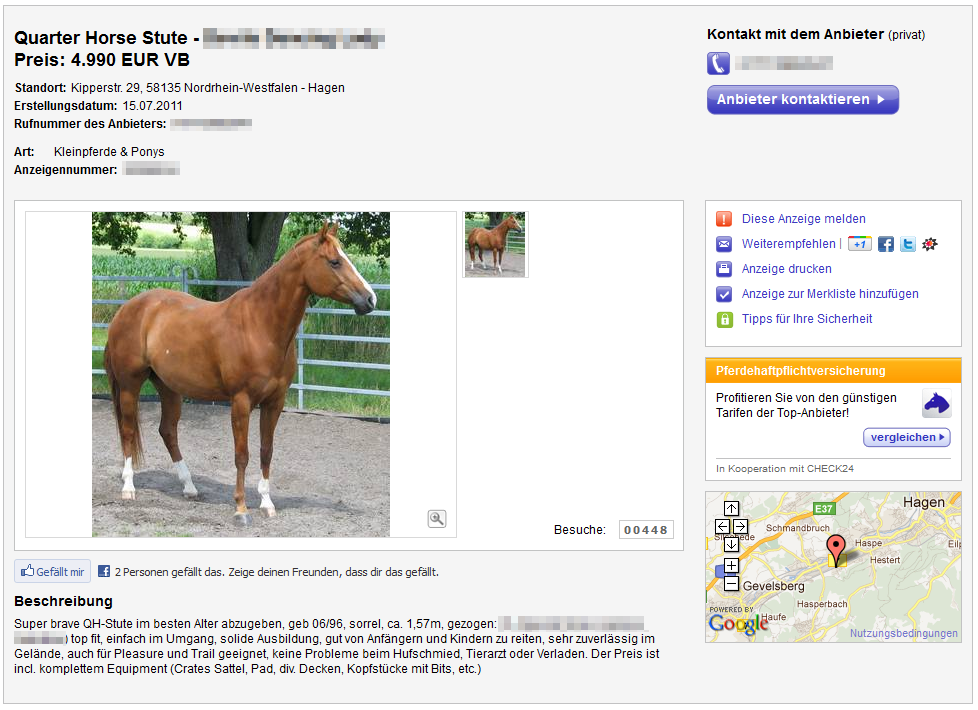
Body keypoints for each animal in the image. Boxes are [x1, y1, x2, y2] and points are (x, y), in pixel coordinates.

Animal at [103, 222, 377, 527]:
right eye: (334, 261)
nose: (370, 299)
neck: (260, 325)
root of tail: (128, 308)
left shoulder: (274, 402)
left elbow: (266, 451)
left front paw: (267, 503)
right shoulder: (241, 401)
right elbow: (242, 455)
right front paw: (241, 509)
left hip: (168, 387)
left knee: (168, 431)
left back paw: (189, 487)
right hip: (130, 384)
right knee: (127, 430)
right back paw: (129, 487)